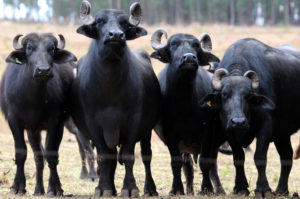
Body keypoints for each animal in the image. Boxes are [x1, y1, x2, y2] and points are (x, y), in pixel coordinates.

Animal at [70, 1, 161, 197]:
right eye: (100, 21)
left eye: (125, 24)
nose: (116, 35)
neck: (110, 88)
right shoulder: (93, 125)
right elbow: (104, 157)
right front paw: (103, 188)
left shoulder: (134, 122)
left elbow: (128, 155)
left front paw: (130, 188)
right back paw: (110, 188)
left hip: (147, 131)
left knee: (146, 156)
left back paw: (150, 188)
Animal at [151, 28, 226, 195]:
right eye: (173, 44)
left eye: (196, 46)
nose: (190, 58)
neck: (184, 103)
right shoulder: (170, 135)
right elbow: (176, 163)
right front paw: (176, 189)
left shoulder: (207, 132)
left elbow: (205, 162)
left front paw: (206, 189)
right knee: (188, 165)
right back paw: (189, 190)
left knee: (212, 164)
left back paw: (219, 190)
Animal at [200, 38, 300, 198]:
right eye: (224, 94)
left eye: (248, 95)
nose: (239, 122)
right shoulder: (228, 128)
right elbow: (238, 157)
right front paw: (241, 187)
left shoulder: (266, 126)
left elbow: (259, 157)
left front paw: (263, 189)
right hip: (282, 133)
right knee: (286, 155)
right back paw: (281, 190)